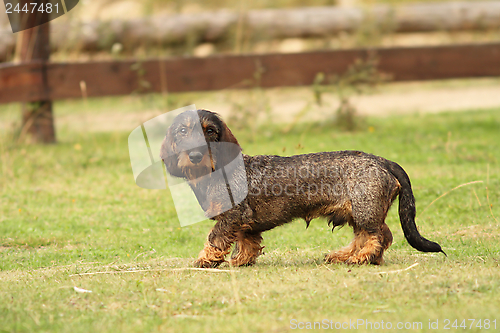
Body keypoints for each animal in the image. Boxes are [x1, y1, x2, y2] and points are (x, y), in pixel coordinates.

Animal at [160, 109, 446, 268]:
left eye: (209, 131)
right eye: (183, 131)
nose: (195, 155)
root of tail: (381, 159)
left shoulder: (232, 216)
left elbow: (215, 238)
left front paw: (205, 259)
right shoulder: (245, 223)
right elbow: (247, 242)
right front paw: (242, 260)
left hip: (366, 210)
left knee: (380, 236)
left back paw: (361, 258)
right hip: (357, 213)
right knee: (364, 237)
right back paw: (344, 256)